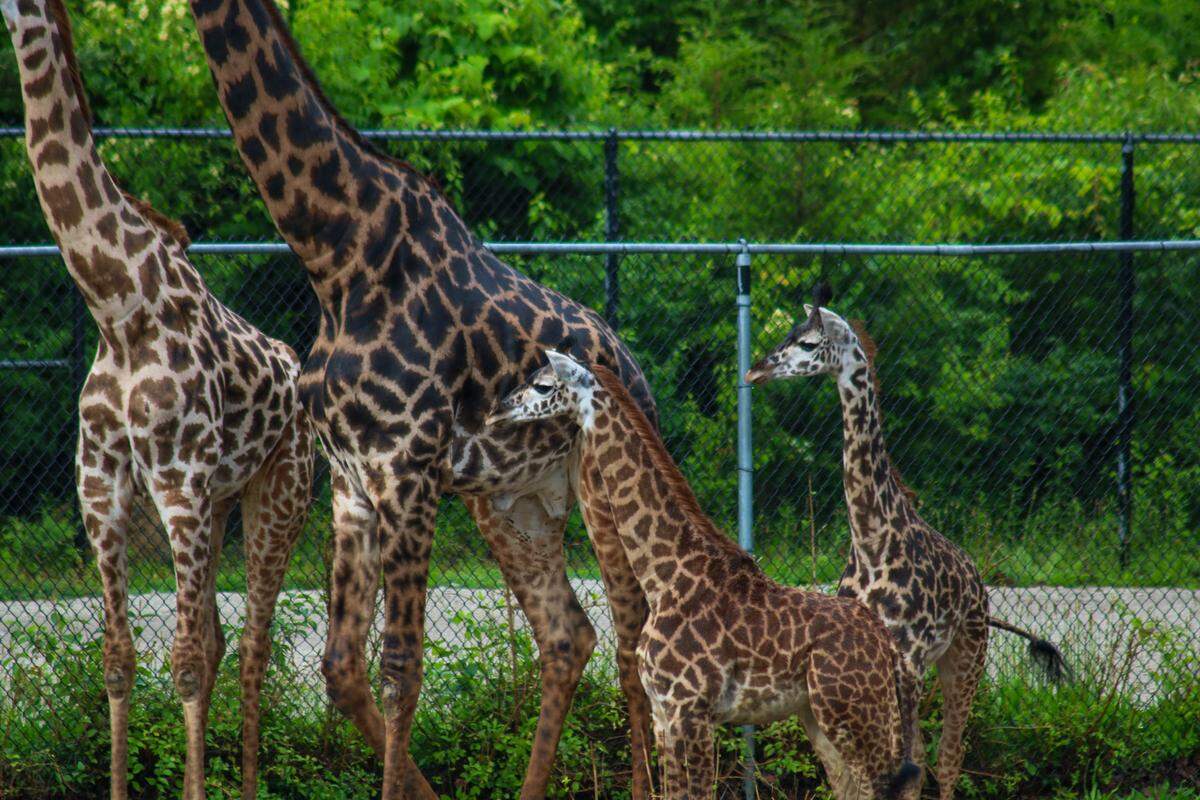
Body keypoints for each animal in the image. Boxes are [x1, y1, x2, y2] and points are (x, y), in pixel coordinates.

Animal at [1, 1, 314, 797]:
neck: (117, 304)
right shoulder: (102, 486)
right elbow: (119, 659)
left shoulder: (178, 483)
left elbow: (187, 664)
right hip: (222, 502)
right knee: (224, 636)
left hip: (278, 496)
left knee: (254, 646)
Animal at [183, 1, 657, 796]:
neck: (336, 258)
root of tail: (638, 376)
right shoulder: (354, 482)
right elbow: (343, 668)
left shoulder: (408, 472)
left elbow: (403, 667)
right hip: (513, 506)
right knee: (568, 635)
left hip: (604, 496)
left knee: (637, 630)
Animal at [487, 351, 922, 800]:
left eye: (543, 385)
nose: (495, 410)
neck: (665, 574)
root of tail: (886, 645)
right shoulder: (664, 716)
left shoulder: (691, 711)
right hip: (822, 716)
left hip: (857, 713)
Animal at [746, 285, 1069, 800]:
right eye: (788, 335)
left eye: (809, 343)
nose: (756, 369)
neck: (872, 540)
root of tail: (978, 582)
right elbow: (858, 772)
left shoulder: (910, 662)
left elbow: (908, 763)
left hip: (967, 656)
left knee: (949, 754)